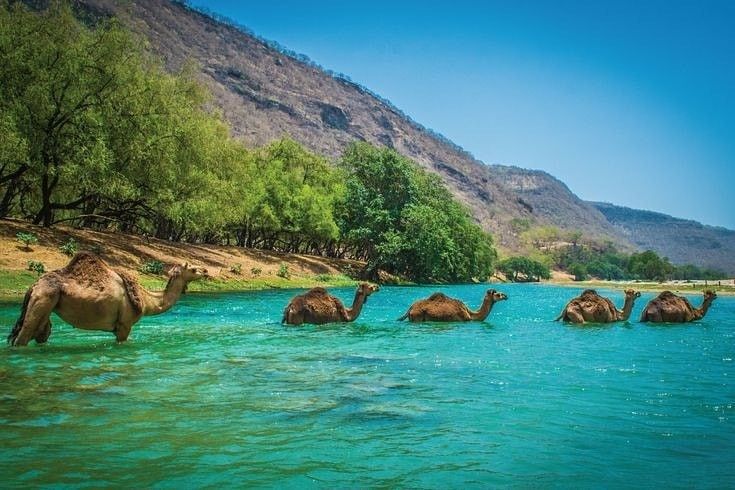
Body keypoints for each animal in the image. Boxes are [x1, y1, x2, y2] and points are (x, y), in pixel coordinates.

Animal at [7, 252, 208, 346]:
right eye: (193, 269)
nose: (205, 270)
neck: (145, 300)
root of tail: (33, 286)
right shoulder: (124, 324)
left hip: (45, 306)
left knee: (41, 333)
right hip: (43, 299)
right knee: (23, 336)